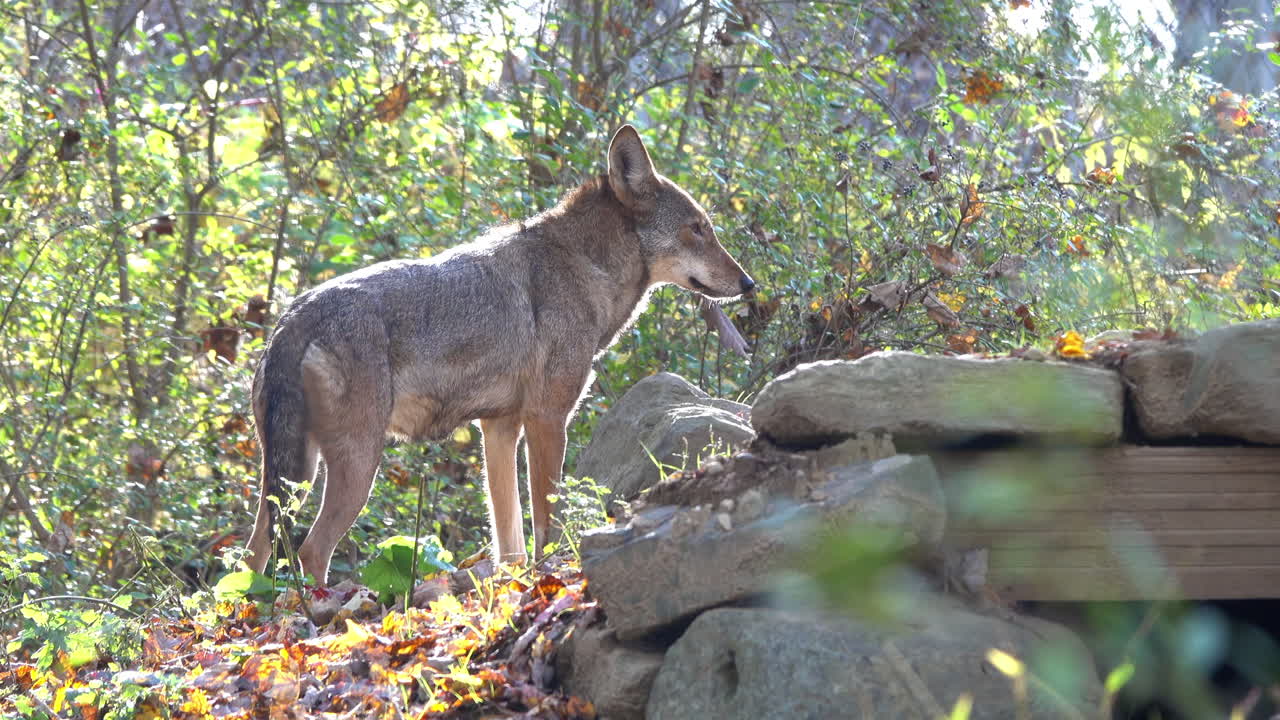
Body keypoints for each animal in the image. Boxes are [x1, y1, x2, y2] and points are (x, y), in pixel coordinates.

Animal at [244, 125, 754, 583]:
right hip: (354, 467)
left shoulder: (499, 429)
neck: (583, 267)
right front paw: (548, 576)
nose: (749, 283)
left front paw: (515, 586)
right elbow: (546, 523)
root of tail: (294, 316)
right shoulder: (547, 419)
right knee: (310, 552)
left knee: (253, 554)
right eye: (698, 229)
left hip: (294, 476)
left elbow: (509, 540)